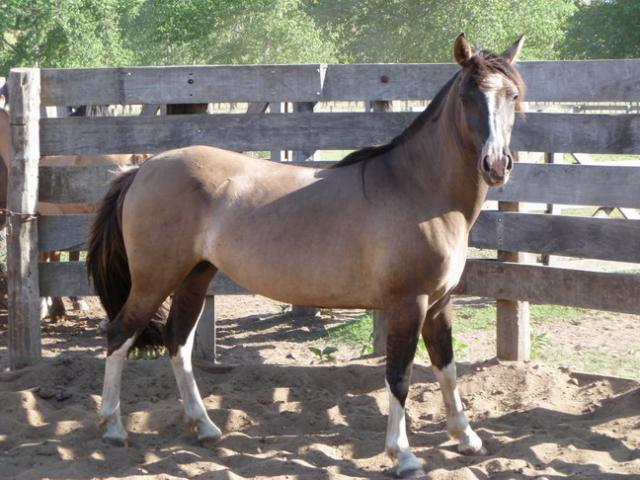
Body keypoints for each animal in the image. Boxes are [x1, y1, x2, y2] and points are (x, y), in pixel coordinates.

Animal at [88, 33, 525, 477]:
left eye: (512, 95)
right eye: (468, 95)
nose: (495, 165)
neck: (417, 189)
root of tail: (142, 170)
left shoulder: (439, 302)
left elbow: (445, 366)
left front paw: (466, 438)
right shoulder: (409, 302)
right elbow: (399, 376)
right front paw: (402, 454)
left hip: (196, 275)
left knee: (178, 341)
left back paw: (205, 427)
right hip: (154, 279)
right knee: (119, 335)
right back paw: (113, 428)